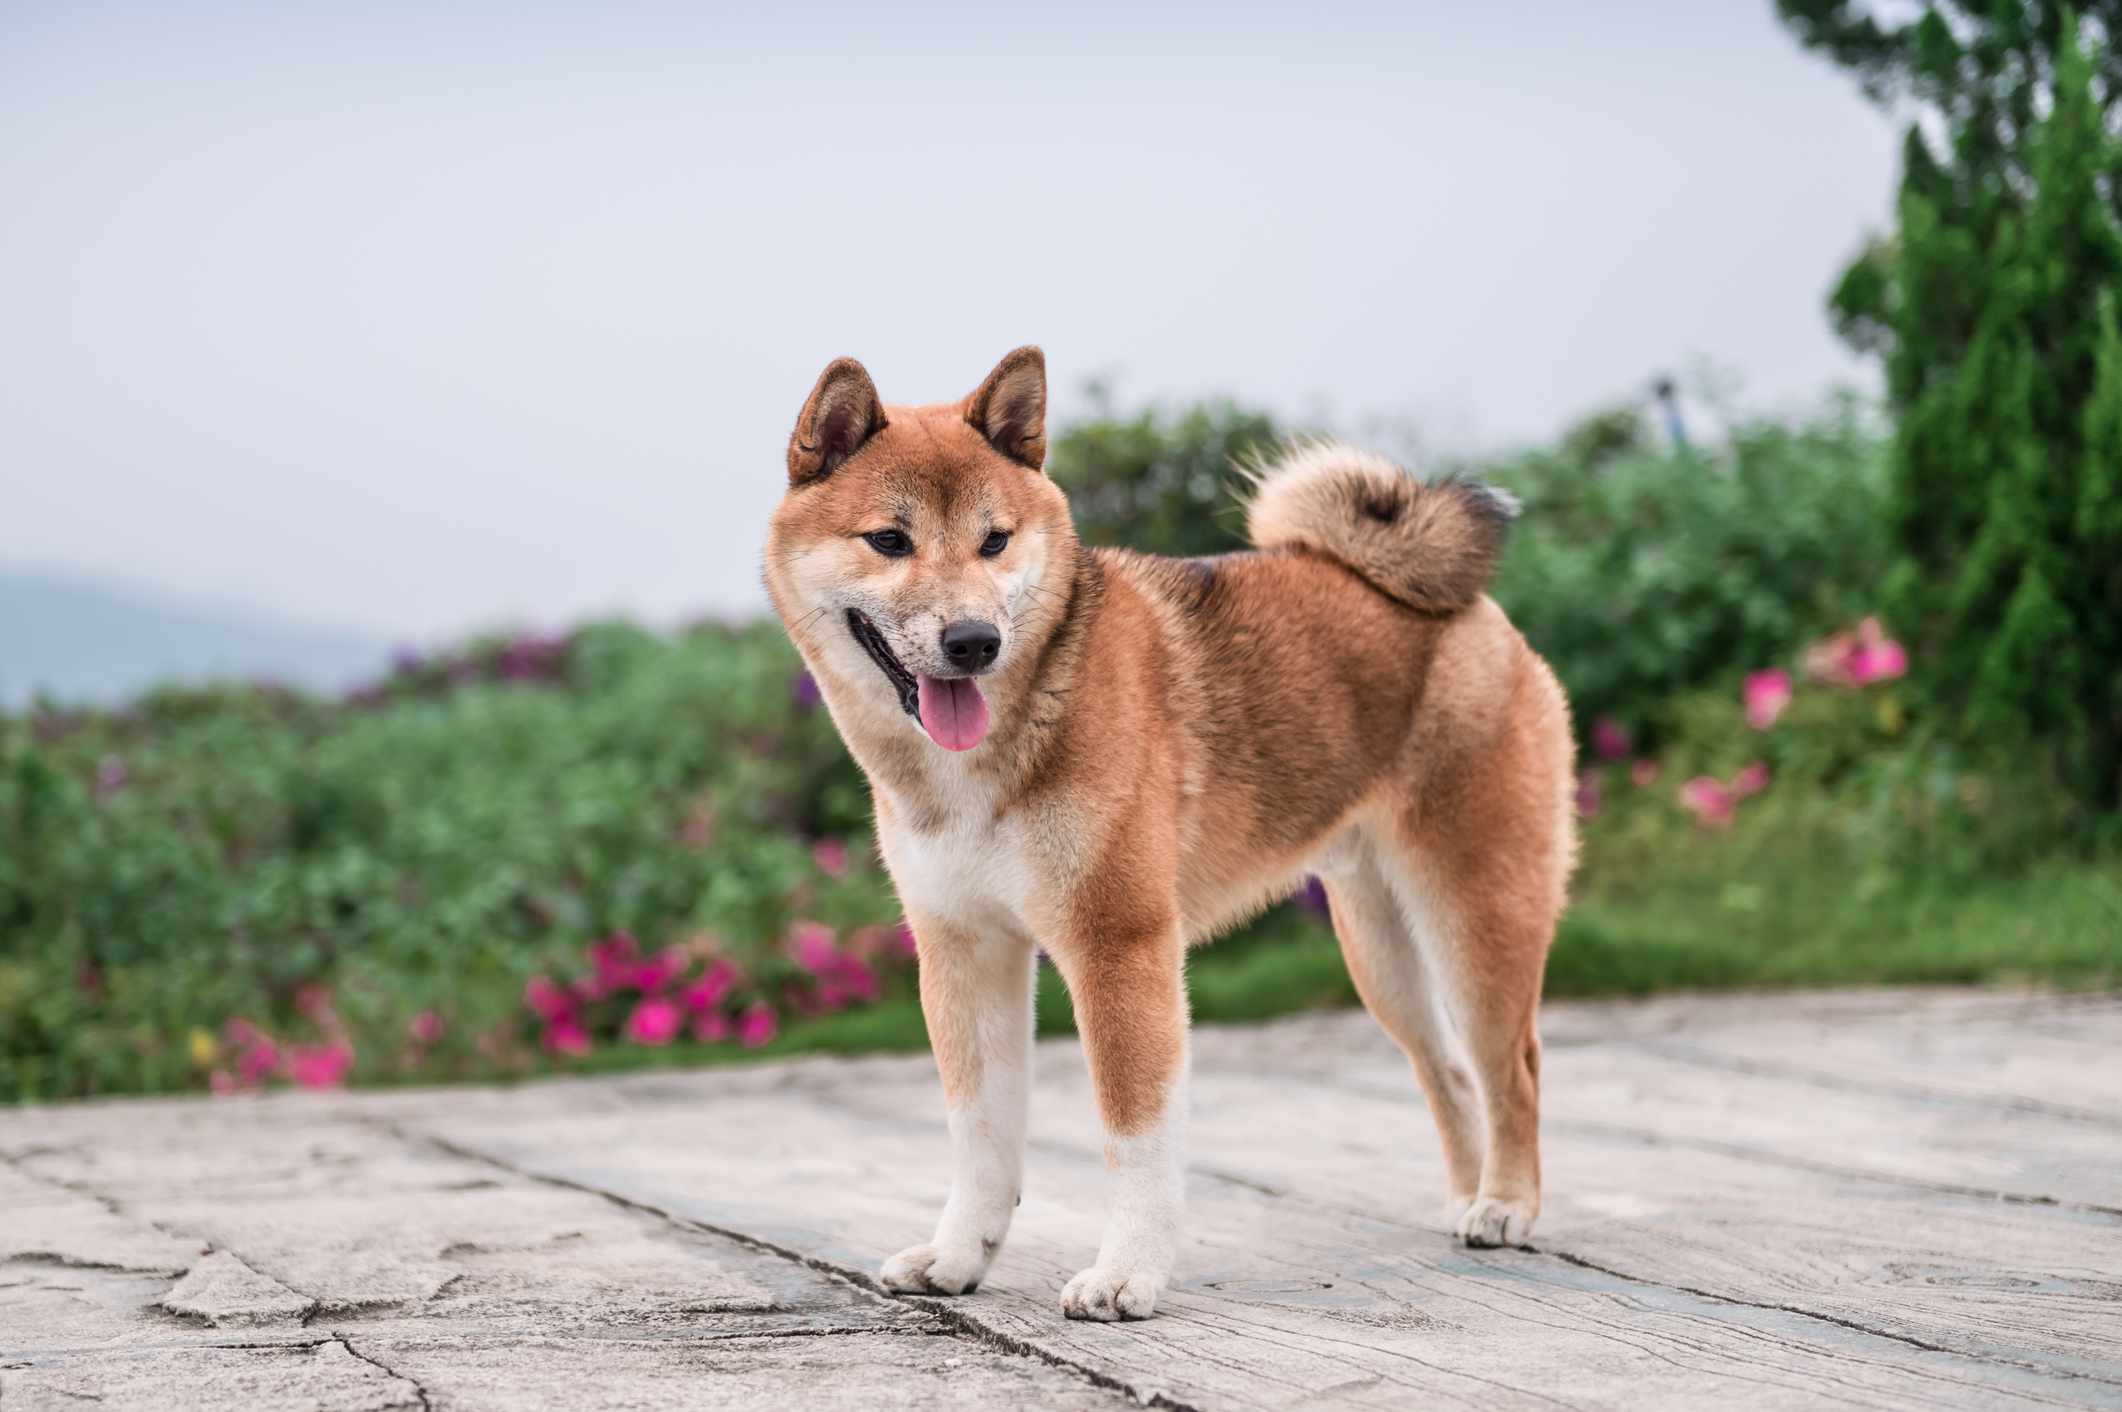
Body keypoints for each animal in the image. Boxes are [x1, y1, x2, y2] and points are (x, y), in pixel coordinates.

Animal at [763, 346, 1578, 1316]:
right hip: (1380, 950)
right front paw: (958, 1256)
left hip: (1474, 918)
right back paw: (1465, 1196)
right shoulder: (964, 949)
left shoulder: (1119, 945)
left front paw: (1127, 1273)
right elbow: (979, 1134)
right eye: (889, 540)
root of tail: (1472, 615)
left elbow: (1134, 1135)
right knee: (1447, 1071)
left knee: (1514, 1067)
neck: (1002, 737)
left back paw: (1507, 1205)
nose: (973, 641)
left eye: (995, 541)